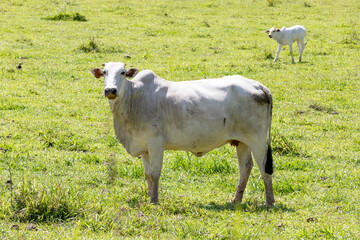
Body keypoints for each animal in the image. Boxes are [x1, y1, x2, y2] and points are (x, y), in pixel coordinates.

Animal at [91, 62, 274, 205]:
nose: (110, 90)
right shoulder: (144, 148)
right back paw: (236, 200)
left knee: (264, 167)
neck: (134, 99)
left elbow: (155, 173)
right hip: (242, 142)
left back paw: (269, 201)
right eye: (105, 72)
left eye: (122, 72)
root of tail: (257, 85)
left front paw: (154, 200)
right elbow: (148, 174)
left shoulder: (156, 143)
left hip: (258, 140)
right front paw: (150, 196)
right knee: (245, 167)